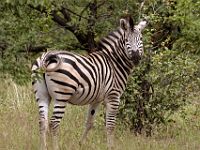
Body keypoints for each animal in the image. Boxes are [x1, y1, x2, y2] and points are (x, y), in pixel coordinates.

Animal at [31, 15, 147, 150]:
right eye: (126, 40)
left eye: (141, 39)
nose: (136, 57)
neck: (114, 62)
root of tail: (45, 57)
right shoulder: (114, 96)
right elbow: (110, 125)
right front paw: (110, 147)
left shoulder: (96, 99)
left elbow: (89, 123)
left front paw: (80, 144)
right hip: (62, 95)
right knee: (54, 123)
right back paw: (56, 147)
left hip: (42, 94)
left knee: (42, 122)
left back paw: (43, 147)